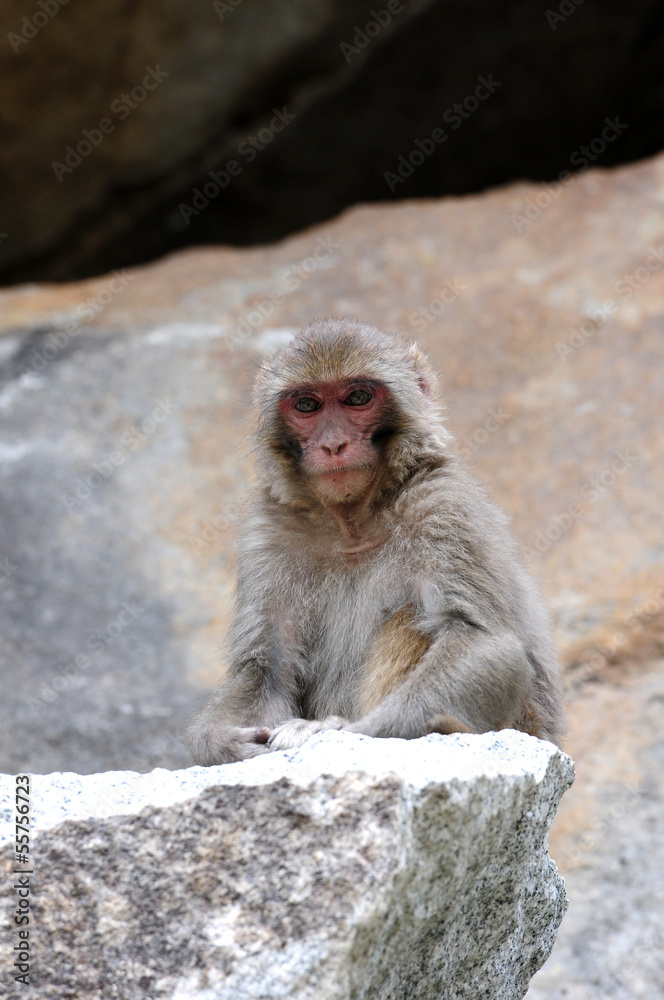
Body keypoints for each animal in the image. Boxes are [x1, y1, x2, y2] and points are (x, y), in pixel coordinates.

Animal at [187, 318, 565, 765]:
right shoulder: (267, 532)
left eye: (358, 398)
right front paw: (220, 742)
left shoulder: (442, 504)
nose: (333, 444)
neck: (353, 522)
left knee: (413, 620)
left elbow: (482, 640)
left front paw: (341, 730)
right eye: (307, 406)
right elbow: (265, 669)